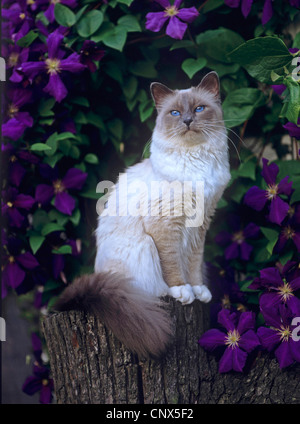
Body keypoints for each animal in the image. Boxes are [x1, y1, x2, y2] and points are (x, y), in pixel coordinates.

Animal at [55, 72, 231, 358]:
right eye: (175, 112)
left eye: (199, 109)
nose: (187, 120)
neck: (196, 161)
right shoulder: (166, 225)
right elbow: (173, 265)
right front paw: (183, 291)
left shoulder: (200, 226)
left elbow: (193, 264)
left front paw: (198, 290)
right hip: (144, 245)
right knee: (152, 291)